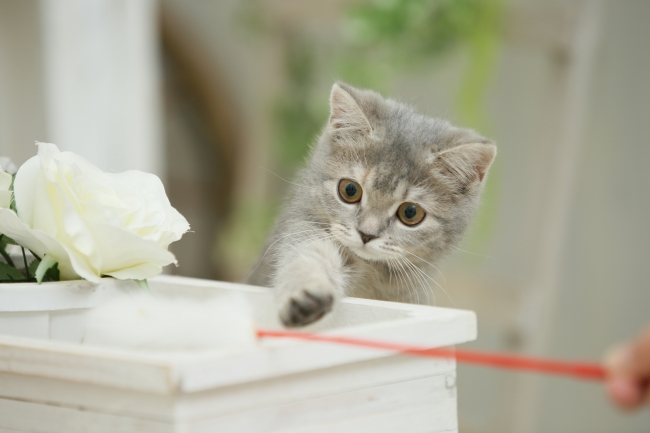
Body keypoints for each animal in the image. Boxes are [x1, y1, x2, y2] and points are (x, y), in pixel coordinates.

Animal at [247, 81, 492, 326]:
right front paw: (307, 294)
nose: (366, 234)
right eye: (350, 190)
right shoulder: (303, 229)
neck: (369, 270)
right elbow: (307, 256)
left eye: (410, 213)